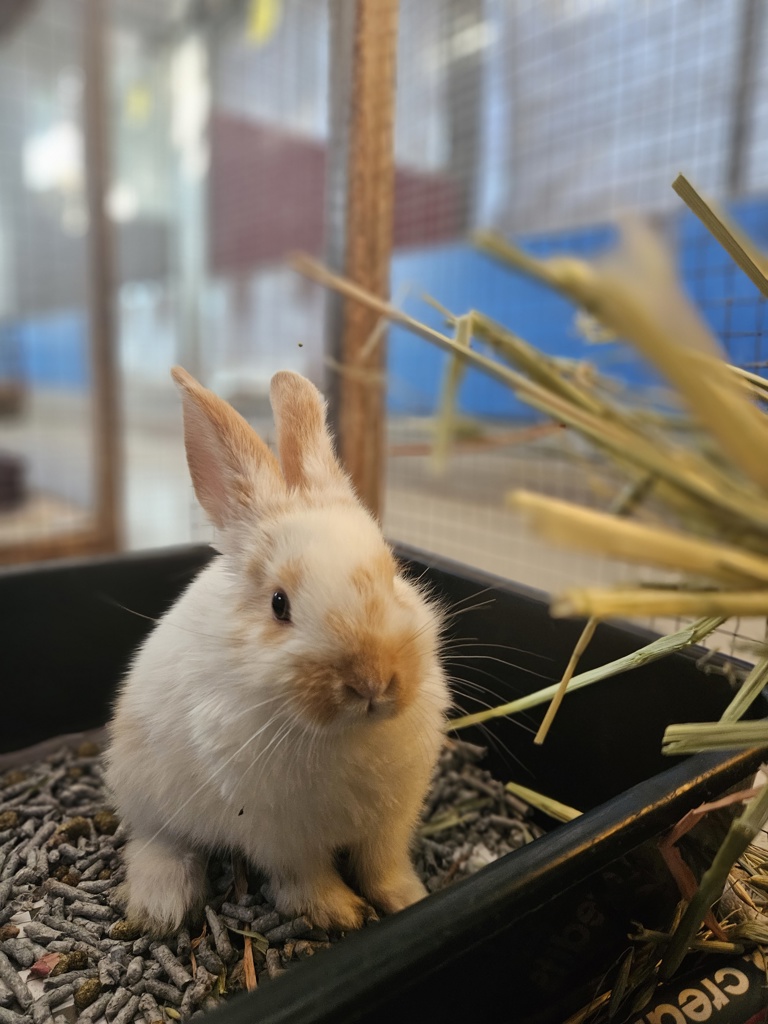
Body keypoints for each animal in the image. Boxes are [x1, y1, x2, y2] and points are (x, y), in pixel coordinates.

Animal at [105, 366, 450, 935]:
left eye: (393, 573)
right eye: (279, 604)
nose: (373, 682)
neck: (344, 733)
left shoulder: (390, 821)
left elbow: (383, 865)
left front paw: (407, 898)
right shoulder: (282, 836)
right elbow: (304, 878)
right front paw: (339, 913)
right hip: (149, 792)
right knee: (155, 840)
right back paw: (164, 905)